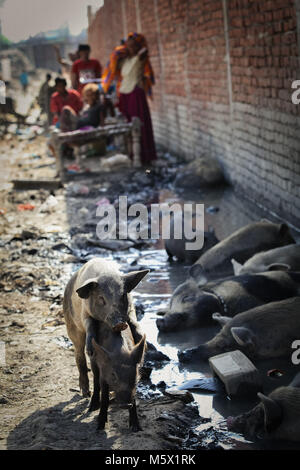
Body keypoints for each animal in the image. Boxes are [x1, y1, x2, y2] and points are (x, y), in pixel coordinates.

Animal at [63, 258, 149, 396]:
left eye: (123, 296)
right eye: (101, 298)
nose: (120, 323)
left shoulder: (131, 308)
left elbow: (133, 321)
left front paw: (145, 345)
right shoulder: (84, 313)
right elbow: (90, 325)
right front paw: (90, 351)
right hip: (71, 325)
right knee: (79, 355)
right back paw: (85, 393)